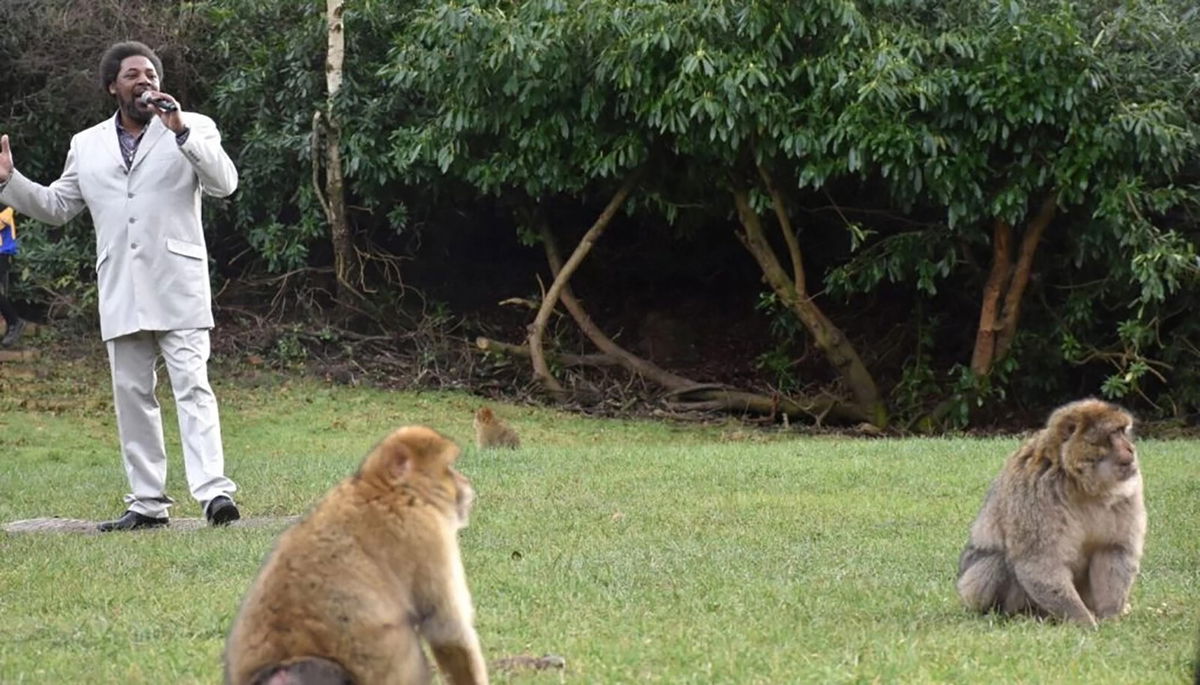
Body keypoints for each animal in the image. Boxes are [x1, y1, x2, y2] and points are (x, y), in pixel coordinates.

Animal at [955, 398, 1142, 628]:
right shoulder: (1035, 489)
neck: (1080, 484)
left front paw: (1110, 617)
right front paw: (1084, 621)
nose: (1131, 448)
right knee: (997, 562)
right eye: (1115, 433)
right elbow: (1039, 562)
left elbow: (1113, 549)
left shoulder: (1128, 490)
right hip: (970, 590)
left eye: (1124, 431)